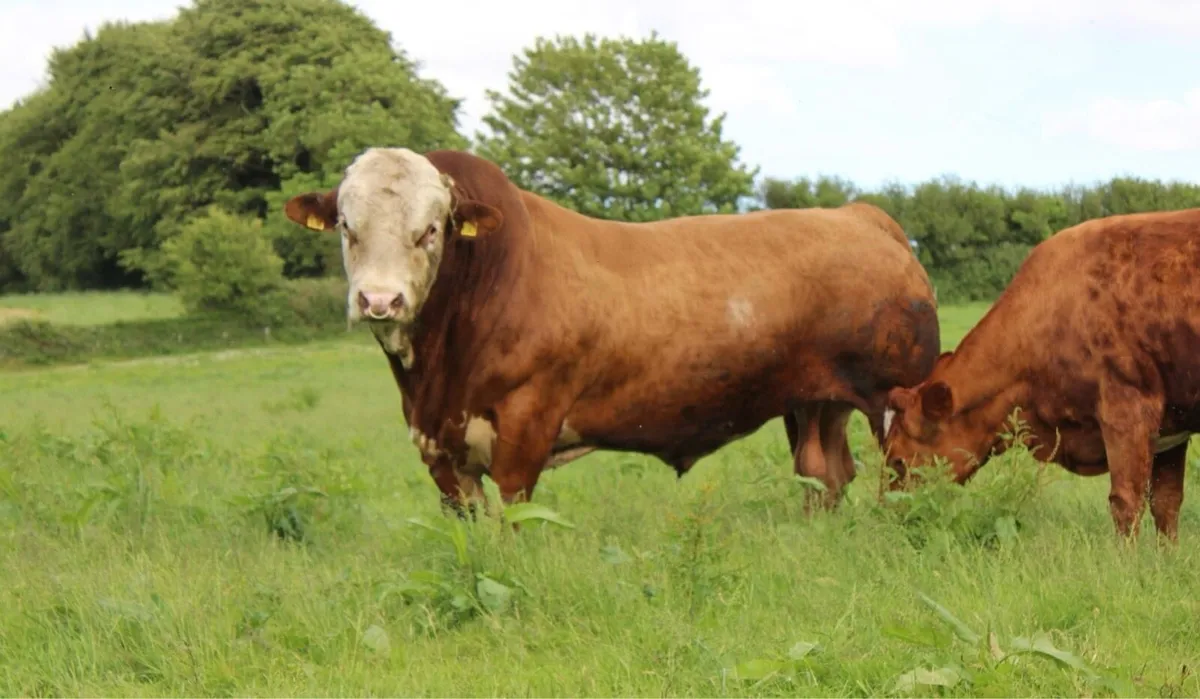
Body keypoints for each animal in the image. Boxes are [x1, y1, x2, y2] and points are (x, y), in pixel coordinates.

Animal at [283, 147, 940, 517]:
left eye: (430, 229)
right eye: (346, 225)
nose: (379, 300)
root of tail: (860, 215)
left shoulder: (526, 423)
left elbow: (511, 517)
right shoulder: (438, 447)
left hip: (896, 398)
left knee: (904, 473)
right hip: (816, 401)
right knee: (825, 472)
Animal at [881, 208, 1200, 540]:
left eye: (898, 462)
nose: (889, 519)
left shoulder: (1127, 410)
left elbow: (1126, 503)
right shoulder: (1171, 428)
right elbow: (1166, 503)